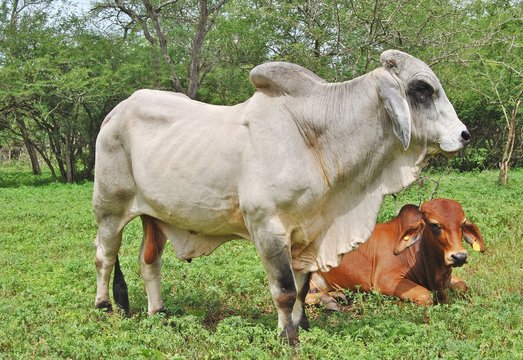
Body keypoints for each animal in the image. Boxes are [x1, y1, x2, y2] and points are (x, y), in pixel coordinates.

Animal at [91, 49, 470, 344]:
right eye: (422, 90)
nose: (464, 135)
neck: (317, 138)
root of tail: (115, 112)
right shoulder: (268, 228)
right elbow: (285, 290)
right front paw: (288, 337)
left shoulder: (309, 234)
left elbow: (302, 288)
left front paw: (304, 326)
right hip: (110, 209)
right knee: (104, 257)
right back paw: (104, 307)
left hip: (154, 216)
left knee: (148, 261)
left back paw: (158, 312)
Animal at [308, 197, 488, 310]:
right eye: (434, 225)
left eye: (463, 224)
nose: (459, 256)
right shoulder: (384, 280)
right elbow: (425, 296)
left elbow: (463, 286)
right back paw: (329, 300)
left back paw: (338, 296)